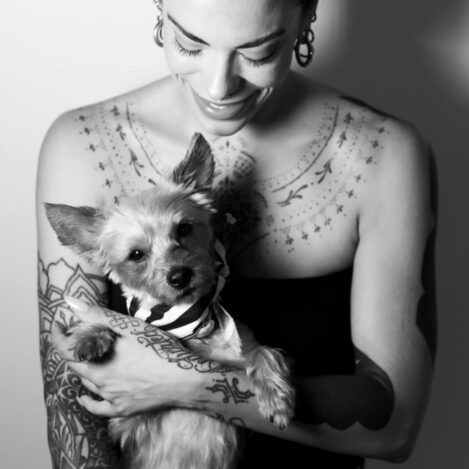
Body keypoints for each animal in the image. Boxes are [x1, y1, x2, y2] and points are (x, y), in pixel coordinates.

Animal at [45, 133, 295, 469]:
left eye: (184, 228)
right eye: (136, 255)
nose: (180, 276)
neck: (190, 322)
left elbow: (263, 354)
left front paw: (275, 397)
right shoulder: (126, 420)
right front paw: (90, 335)